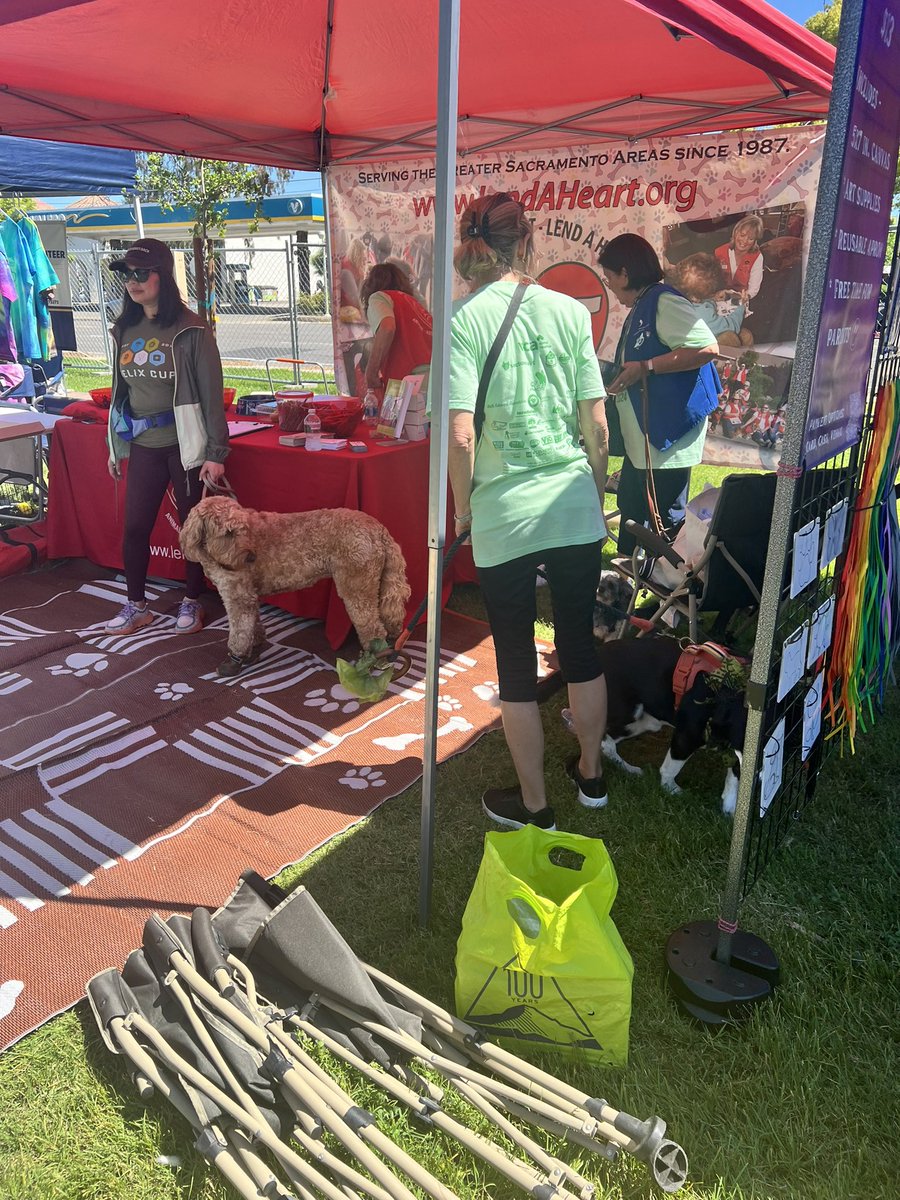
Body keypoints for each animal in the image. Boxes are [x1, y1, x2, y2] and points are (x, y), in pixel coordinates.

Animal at [182, 499, 412, 681]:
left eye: (242, 529)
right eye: (228, 533)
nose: (251, 557)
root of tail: (379, 529)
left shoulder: (238, 595)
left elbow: (239, 630)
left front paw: (235, 659)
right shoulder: (248, 594)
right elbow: (252, 624)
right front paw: (253, 649)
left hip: (357, 584)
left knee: (372, 627)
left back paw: (375, 659)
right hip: (378, 581)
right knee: (389, 618)